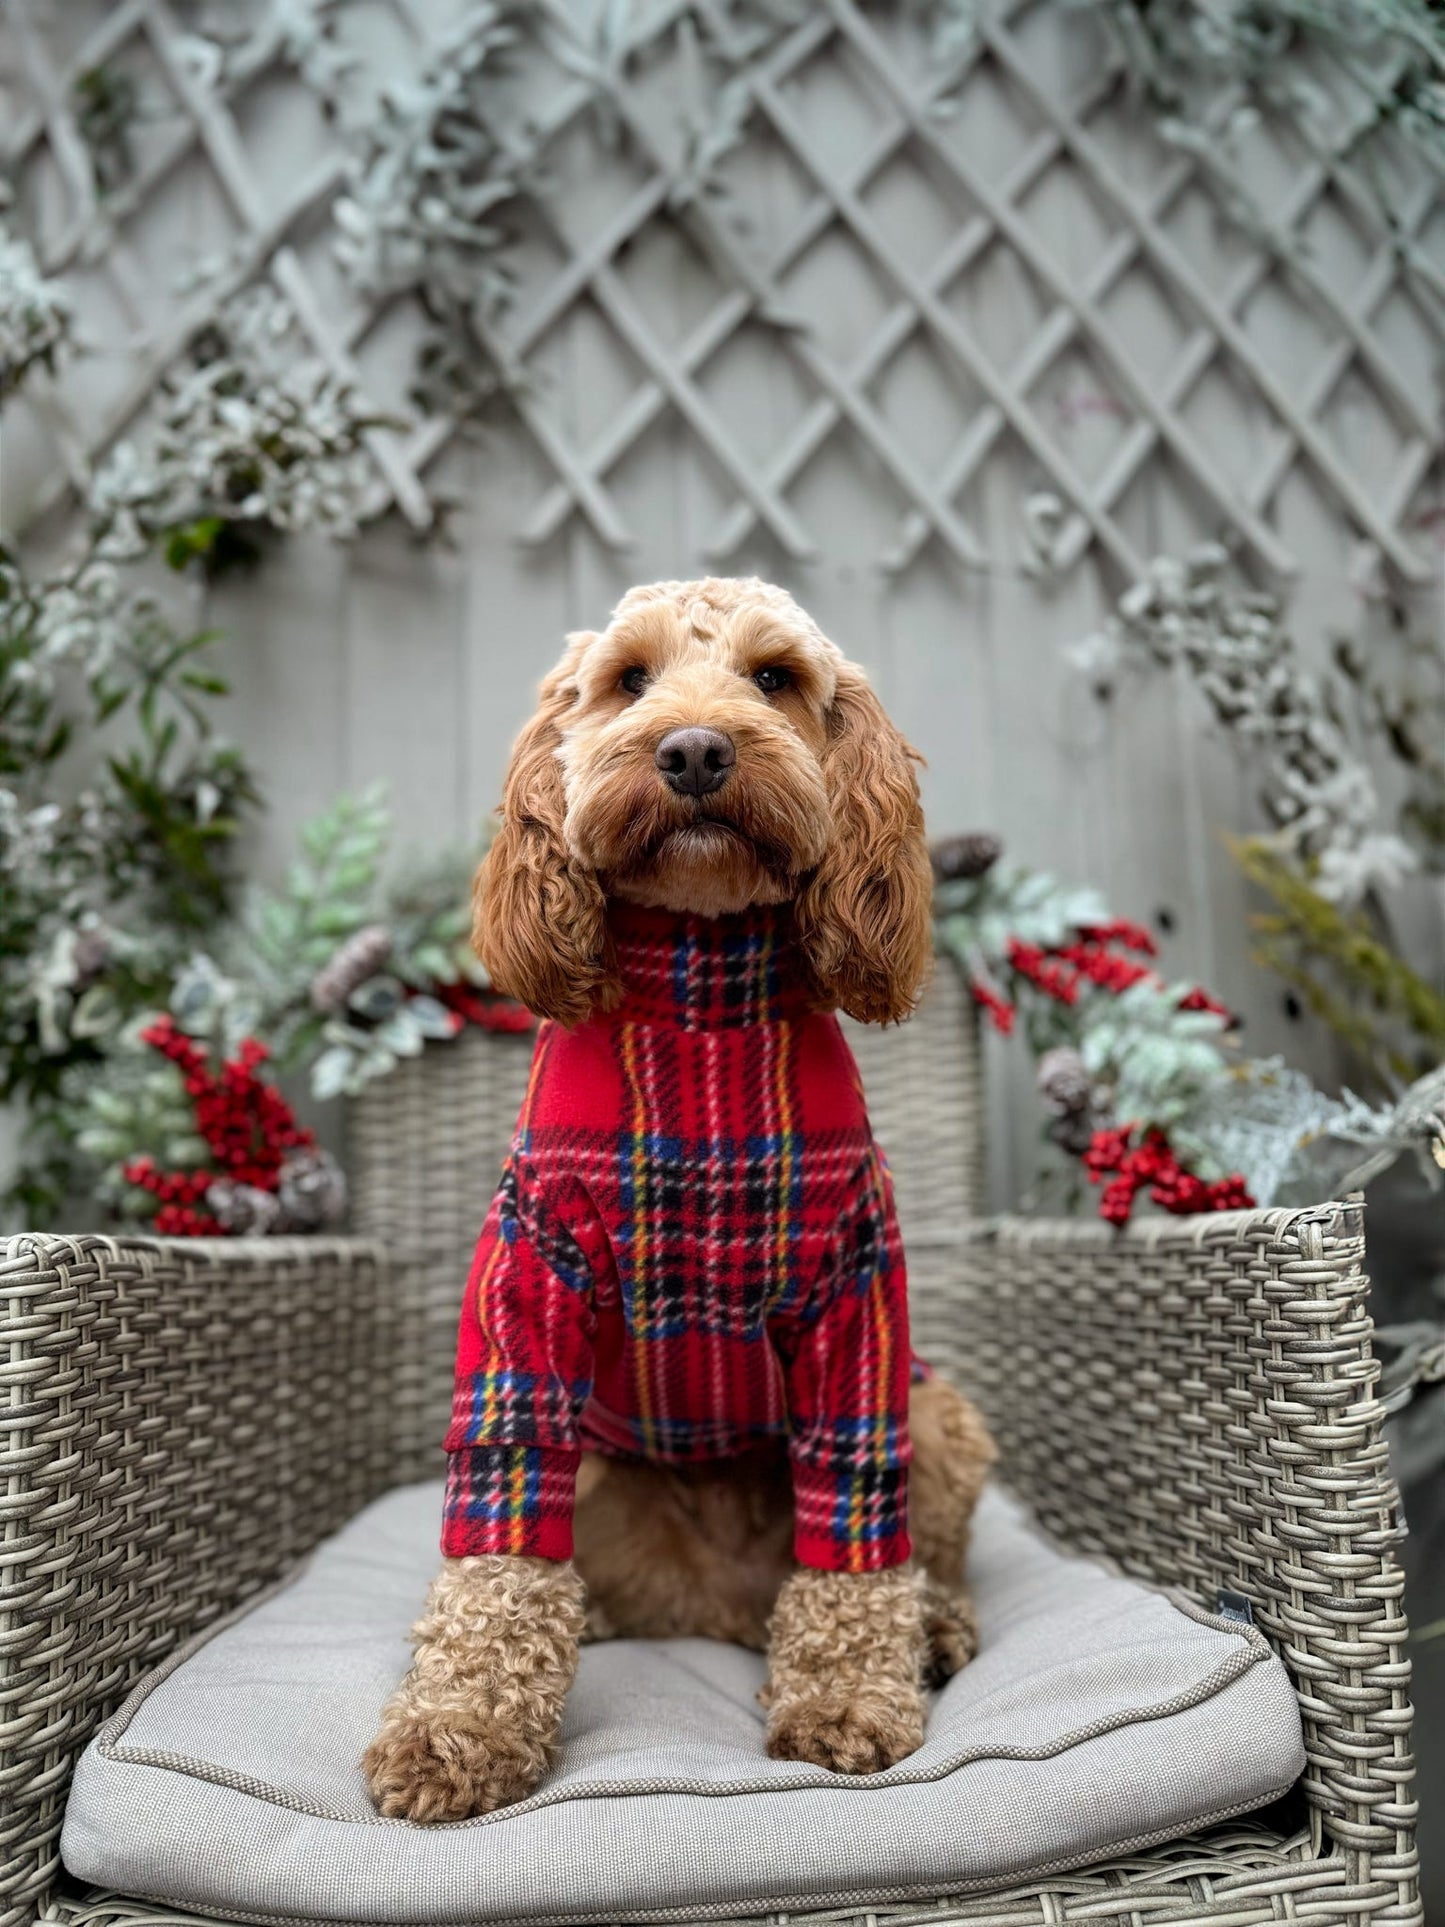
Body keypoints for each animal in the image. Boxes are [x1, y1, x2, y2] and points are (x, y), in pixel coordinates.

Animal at [364, 570, 994, 1819]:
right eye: (627, 680)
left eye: (773, 677)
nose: (696, 749)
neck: (700, 1016)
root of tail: (714, 1604)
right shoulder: (532, 1272)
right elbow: (497, 1548)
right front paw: (457, 1727)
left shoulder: (854, 1290)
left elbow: (854, 1539)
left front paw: (848, 1698)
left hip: (938, 1410)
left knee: (902, 1550)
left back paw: (935, 1628)